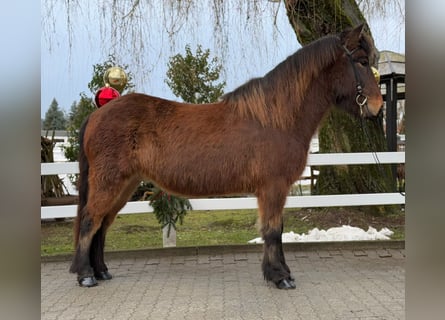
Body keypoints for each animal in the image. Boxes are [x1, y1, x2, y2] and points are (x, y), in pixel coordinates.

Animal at [69, 24, 382, 290]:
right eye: (361, 62)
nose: (377, 107)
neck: (276, 118)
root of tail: (98, 114)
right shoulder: (273, 187)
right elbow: (272, 230)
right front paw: (279, 276)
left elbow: (275, 229)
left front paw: (279, 272)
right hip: (109, 182)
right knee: (90, 220)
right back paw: (86, 275)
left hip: (125, 185)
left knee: (102, 224)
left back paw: (101, 271)